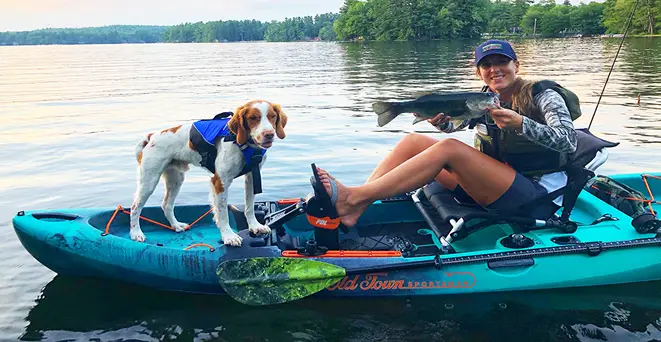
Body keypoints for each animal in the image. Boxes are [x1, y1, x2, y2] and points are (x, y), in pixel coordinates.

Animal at [129, 100, 286, 247]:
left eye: (272, 116)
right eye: (253, 118)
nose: (269, 134)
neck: (243, 143)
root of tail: (151, 136)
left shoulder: (252, 177)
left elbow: (249, 207)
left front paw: (255, 226)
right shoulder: (220, 182)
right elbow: (222, 213)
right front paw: (228, 236)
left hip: (176, 179)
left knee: (166, 205)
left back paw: (176, 225)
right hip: (150, 180)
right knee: (135, 207)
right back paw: (136, 233)